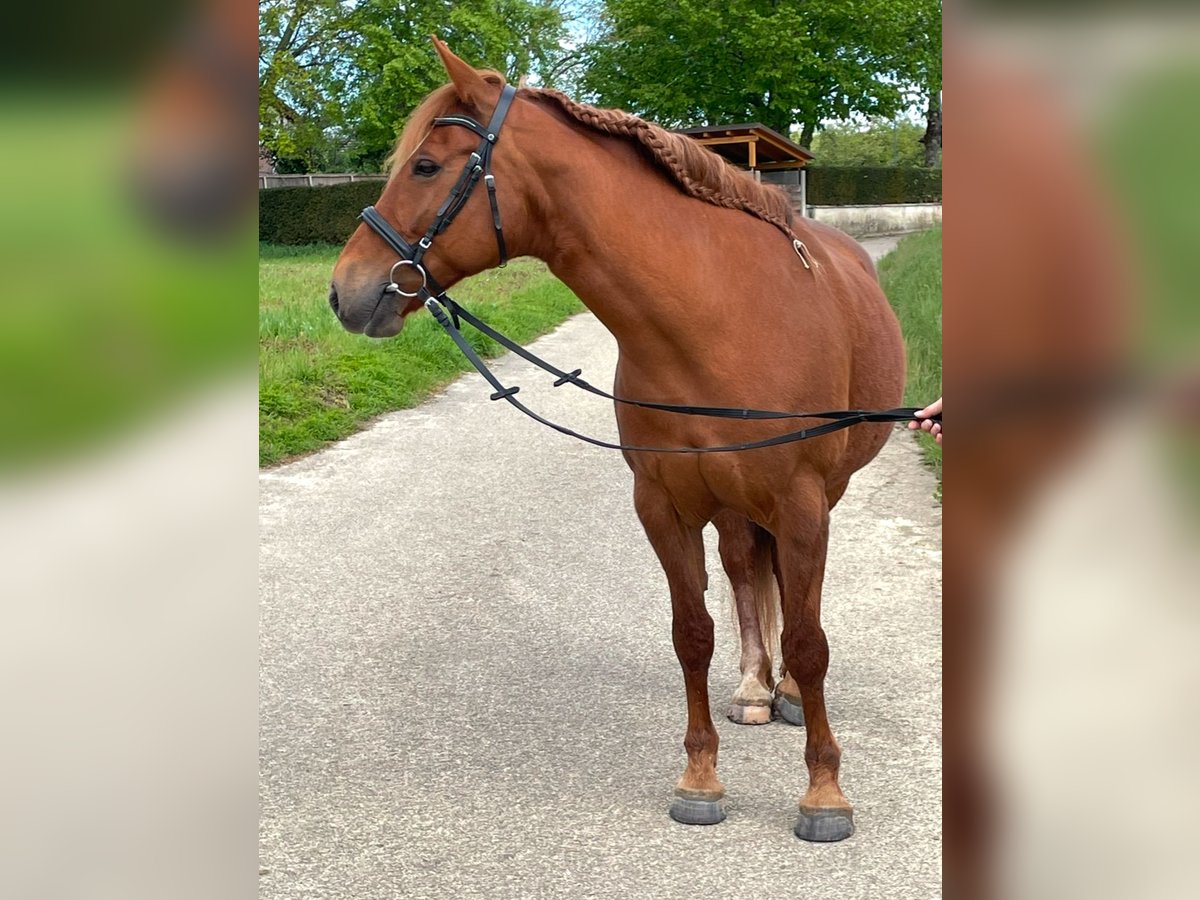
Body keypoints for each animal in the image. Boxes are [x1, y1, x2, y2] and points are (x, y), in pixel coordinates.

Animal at [328, 38, 902, 844]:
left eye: (427, 167)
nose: (344, 292)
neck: (717, 318)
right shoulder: (662, 503)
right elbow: (692, 634)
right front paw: (700, 779)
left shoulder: (801, 503)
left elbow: (810, 641)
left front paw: (824, 794)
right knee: (744, 569)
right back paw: (755, 688)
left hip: (820, 494)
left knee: (787, 598)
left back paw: (783, 691)